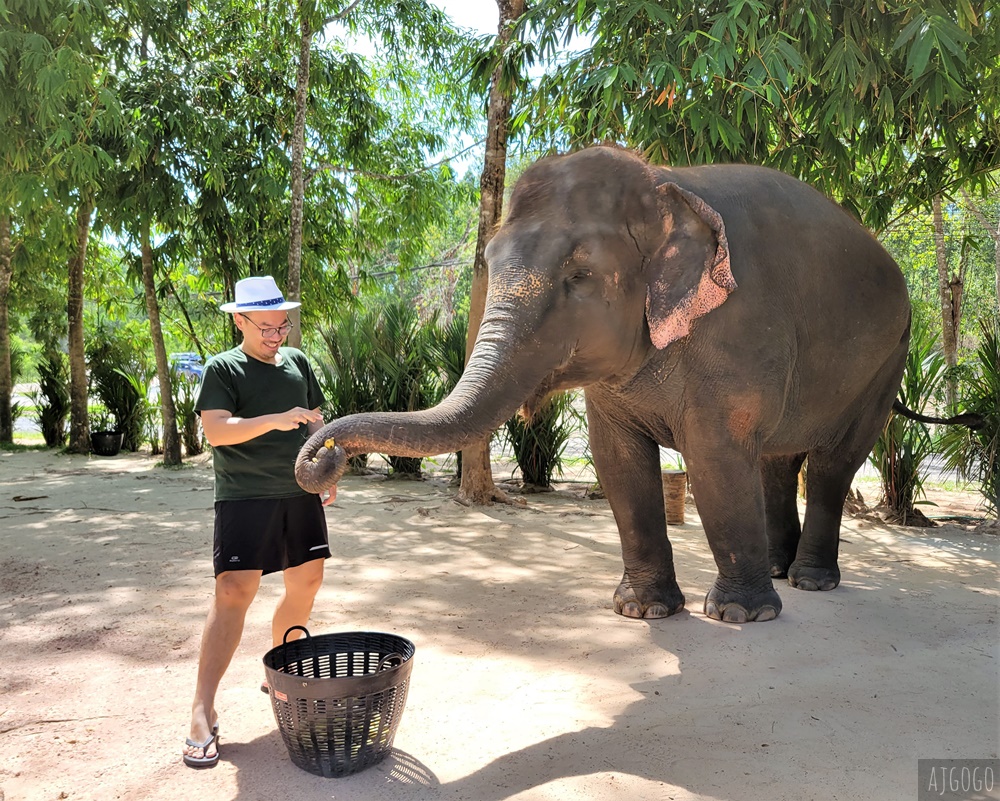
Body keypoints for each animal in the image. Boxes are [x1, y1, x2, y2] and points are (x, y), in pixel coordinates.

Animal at [296, 145, 916, 624]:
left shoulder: (740, 333)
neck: (665, 182)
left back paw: (809, 581)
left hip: (888, 361)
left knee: (832, 463)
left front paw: (741, 615)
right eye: (489, 263)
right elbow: (617, 462)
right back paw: (777, 569)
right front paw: (642, 611)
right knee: (777, 462)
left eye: (580, 276)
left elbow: (716, 459)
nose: (324, 453)